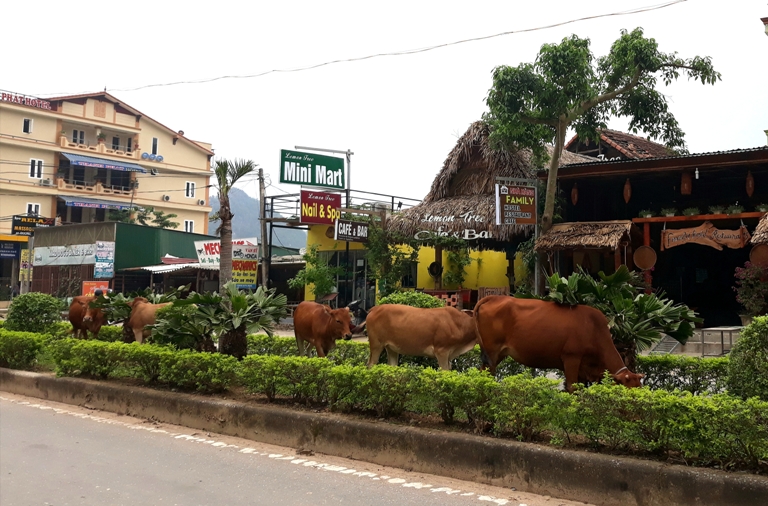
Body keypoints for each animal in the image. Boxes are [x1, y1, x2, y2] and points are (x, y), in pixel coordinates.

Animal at [474, 294, 640, 394]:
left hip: (498, 353)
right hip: (492, 351)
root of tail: (495, 297)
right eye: (627, 392)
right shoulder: (571, 358)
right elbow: (572, 387)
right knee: (488, 373)